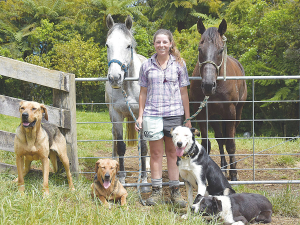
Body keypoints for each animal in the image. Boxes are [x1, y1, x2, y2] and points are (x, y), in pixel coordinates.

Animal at [191, 19, 247, 181]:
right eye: (200, 49)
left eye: (221, 50)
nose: (208, 85)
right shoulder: (202, 114)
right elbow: (207, 143)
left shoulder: (230, 113)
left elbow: (231, 144)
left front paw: (234, 174)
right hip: (216, 117)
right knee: (220, 139)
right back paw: (223, 167)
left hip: (237, 114)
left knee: (228, 138)